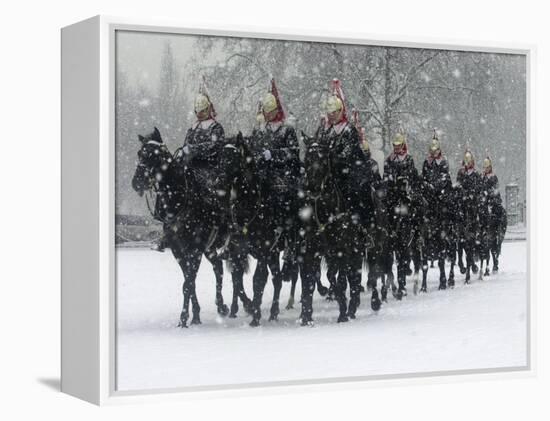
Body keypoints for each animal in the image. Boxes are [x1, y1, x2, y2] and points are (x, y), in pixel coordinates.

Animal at [133, 126, 232, 326]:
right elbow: (188, 281)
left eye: (154, 154)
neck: (178, 202)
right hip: (209, 248)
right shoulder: (178, 250)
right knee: (218, 268)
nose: (136, 183)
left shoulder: (195, 249)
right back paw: (221, 306)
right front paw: (194, 315)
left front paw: (185, 317)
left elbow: (188, 282)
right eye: (140, 153)